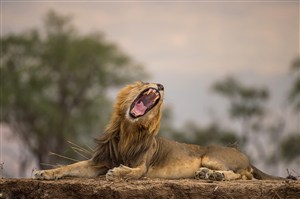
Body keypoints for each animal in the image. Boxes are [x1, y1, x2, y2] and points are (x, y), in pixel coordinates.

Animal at [33, 81, 284, 181]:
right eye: (143, 82)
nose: (161, 85)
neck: (129, 131)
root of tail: (246, 156)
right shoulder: (98, 162)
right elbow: (69, 167)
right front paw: (43, 173)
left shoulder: (143, 166)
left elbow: (133, 171)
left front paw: (118, 172)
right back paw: (205, 174)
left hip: (212, 156)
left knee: (242, 175)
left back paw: (215, 176)